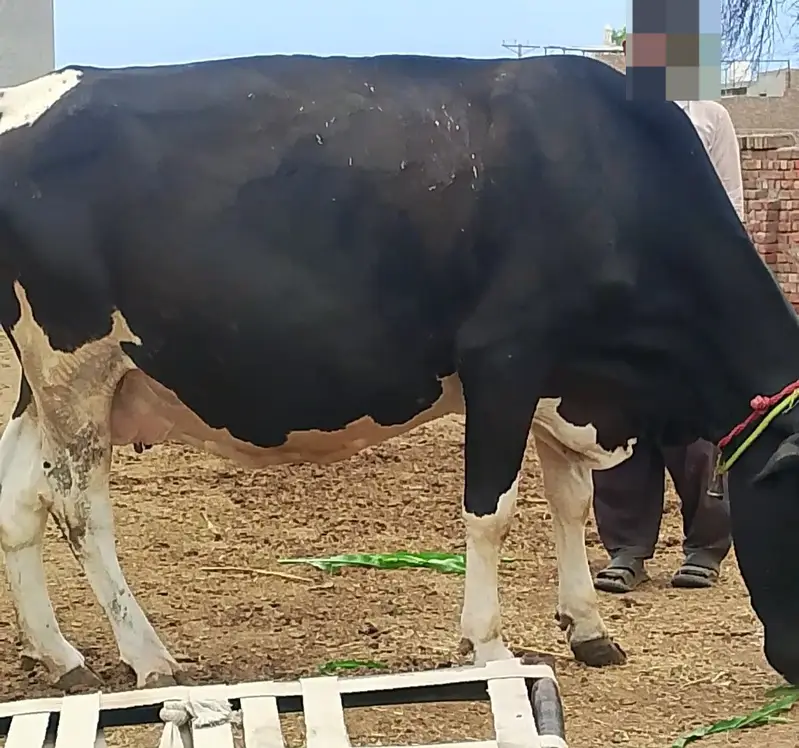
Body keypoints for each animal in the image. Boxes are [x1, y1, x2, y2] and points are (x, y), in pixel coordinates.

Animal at [0, 52, 798, 692]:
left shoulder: (565, 381)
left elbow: (569, 502)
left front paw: (589, 627)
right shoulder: (505, 359)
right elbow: (491, 513)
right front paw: (487, 646)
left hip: (48, 385)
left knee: (19, 500)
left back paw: (62, 657)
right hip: (75, 364)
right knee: (80, 510)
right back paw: (148, 657)